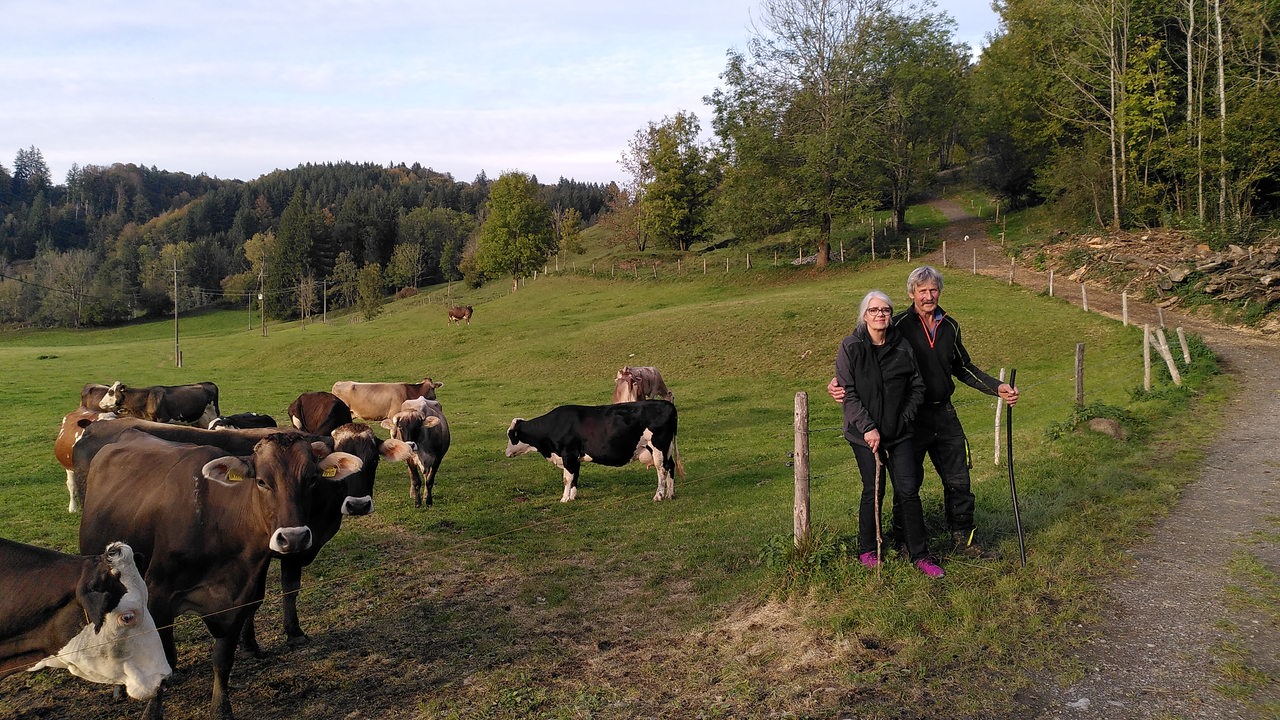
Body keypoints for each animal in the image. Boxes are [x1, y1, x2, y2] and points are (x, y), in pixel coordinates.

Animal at [80, 425, 363, 717]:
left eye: (311, 480)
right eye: (261, 481)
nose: (293, 538)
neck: (217, 525)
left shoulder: (240, 599)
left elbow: (223, 658)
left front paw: (221, 709)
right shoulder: (158, 596)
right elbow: (161, 656)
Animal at [241, 420, 412, 650]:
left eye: (374, 460)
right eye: (339, 465)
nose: (358, 505)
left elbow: (288, 589)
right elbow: (261, 596)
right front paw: (252, 642)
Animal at [499, 394, 686, 502]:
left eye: (511, 435)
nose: (506, 452)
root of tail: (667, 404)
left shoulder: (568, 454)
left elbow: (567, 478)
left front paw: (564, 499)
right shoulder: (574, 458)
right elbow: (575, 477)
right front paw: (572, 497)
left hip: (658, 447)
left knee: (661, 470)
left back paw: (658, 496)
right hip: (665, 449)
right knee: (670, 466)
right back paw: (670, 494)